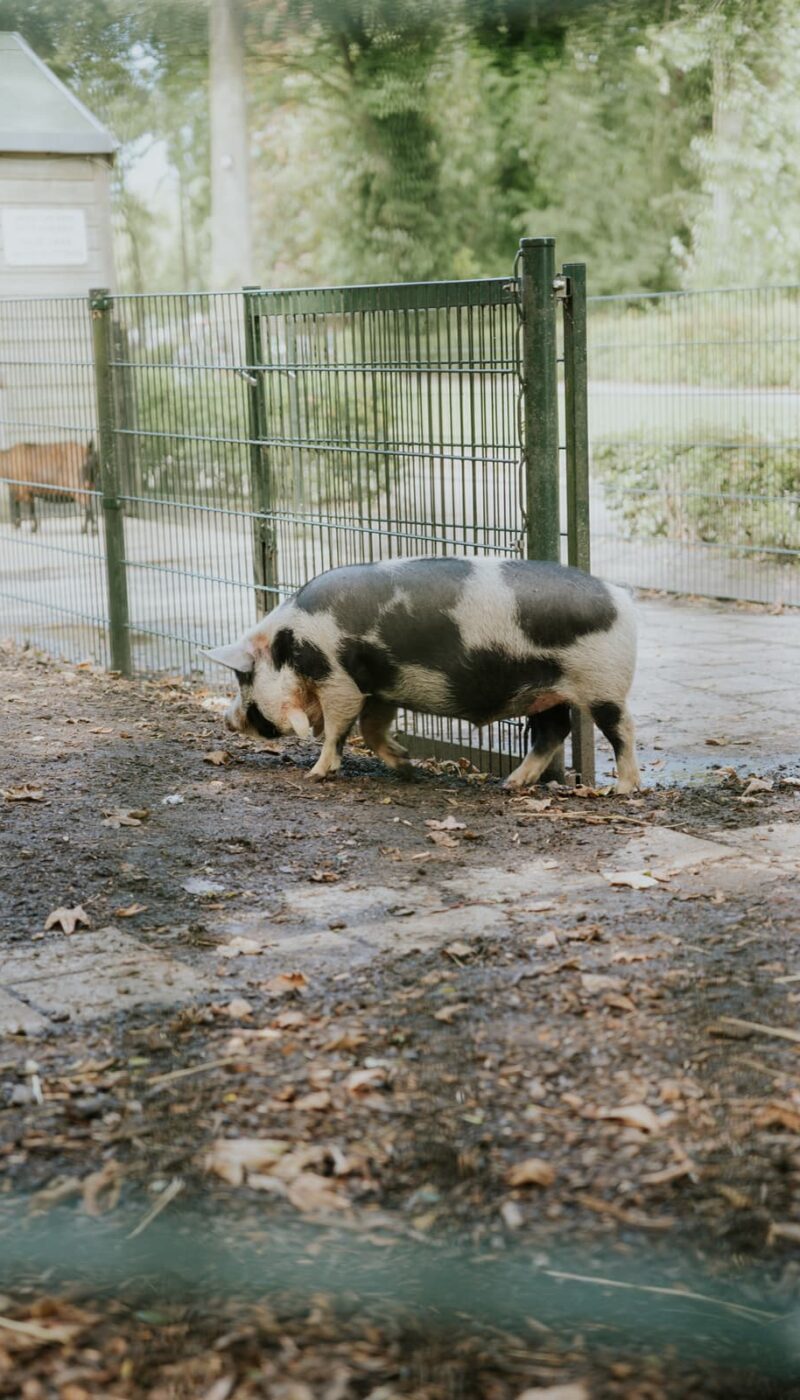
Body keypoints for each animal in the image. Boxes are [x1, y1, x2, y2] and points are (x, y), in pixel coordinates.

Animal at [203, 557, 641, 800]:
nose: (226, 718)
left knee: (621, 730)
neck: (293, 642)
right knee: (554, 730)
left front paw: (316, 774)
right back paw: (510, 784)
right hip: (545, 691)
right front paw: (406, 766)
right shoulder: (380, 687)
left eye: (243, 677)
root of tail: (621, 598)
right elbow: (372, 728)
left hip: (602, 683)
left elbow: (338, 727)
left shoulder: (339, 679)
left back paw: (622, 790)